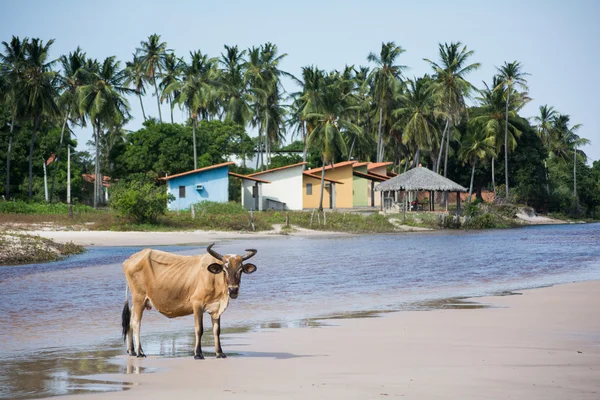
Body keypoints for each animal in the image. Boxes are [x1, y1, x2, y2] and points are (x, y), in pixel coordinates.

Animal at [120, 242, 256, 360]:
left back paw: (132, 351)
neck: (214, 279)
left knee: (130, 321)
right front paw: (198, 354)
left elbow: (217, 331)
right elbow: (199, 329)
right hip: (139, 298)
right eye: (224, 270)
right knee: (136, 323)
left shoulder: (216, 308)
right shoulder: (197, 304)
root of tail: (130, 258)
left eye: (240, 270)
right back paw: (139, 352)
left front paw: (220, 353)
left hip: (140, 301)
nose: (233, 290)